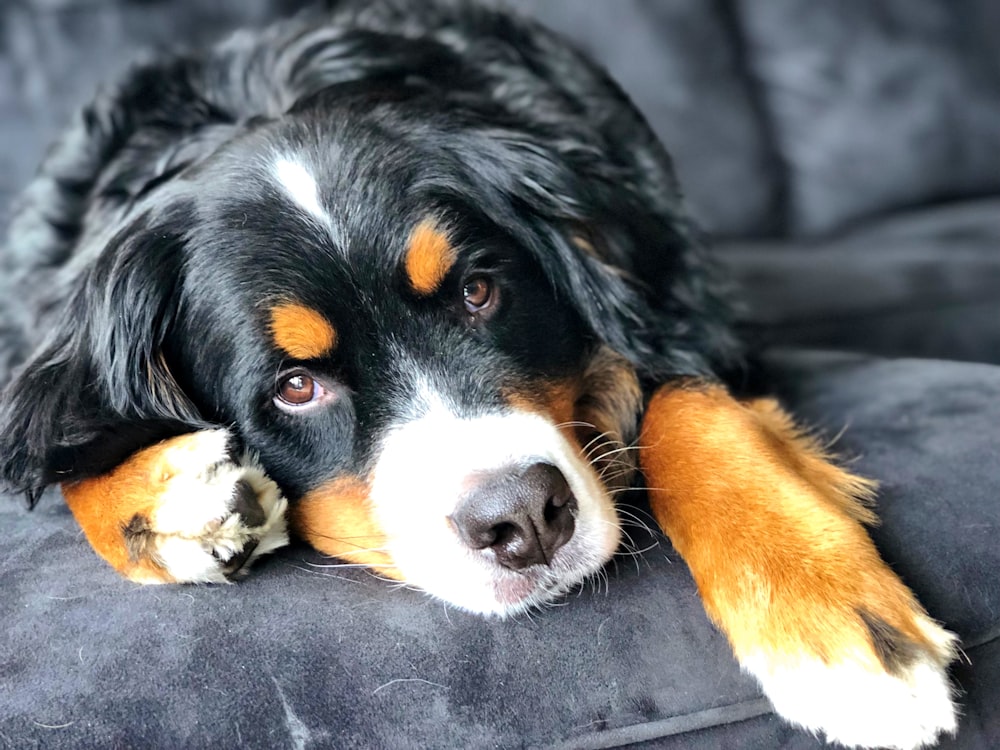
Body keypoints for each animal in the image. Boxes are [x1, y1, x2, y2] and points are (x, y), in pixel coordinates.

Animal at [0, 2, 960, 748]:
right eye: (295, 386)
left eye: (478, 291)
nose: (524, 518)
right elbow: (65, 442)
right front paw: (172, 500)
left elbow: (690, 408)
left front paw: (833, 627)